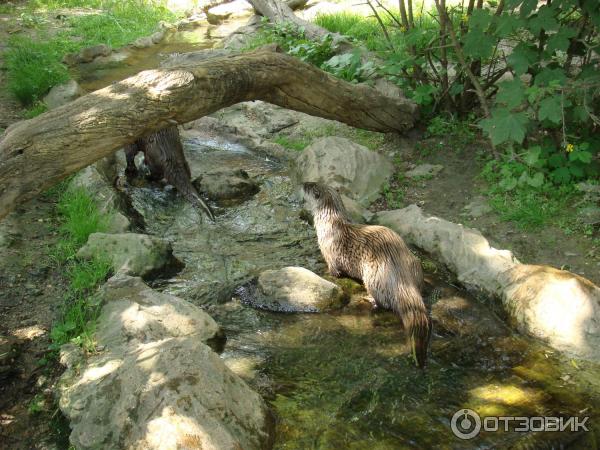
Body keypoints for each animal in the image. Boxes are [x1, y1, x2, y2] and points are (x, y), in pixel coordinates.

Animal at [304, 181, 432, 368]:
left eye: (310, 186)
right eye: (313, 182)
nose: (303, 183)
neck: (329, 223)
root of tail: (400, 274)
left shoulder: (329, 253)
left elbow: (334, 271)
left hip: (373, 275)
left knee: (382, 301)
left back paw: (369, 299)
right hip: (414, 262)